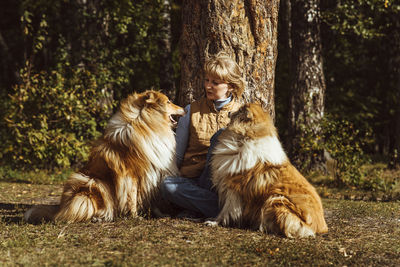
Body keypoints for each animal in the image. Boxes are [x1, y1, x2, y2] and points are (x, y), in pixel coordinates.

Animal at [25, 91, 185, 223]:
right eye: (168, 102)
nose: (184, 109)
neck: (147, 124)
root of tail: (60, 208)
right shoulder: (131, 176)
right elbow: (131, 198)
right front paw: (135, 216)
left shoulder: (152, 173)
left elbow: (153, 199)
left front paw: (160, 214)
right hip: (93, 182)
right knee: (73, 213)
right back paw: (98, 217)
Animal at [206, 104, 328, 239]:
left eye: (240, 110)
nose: (228, 112)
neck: (247, 137)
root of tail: (322, 228)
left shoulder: (234, 189)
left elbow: (225, 210)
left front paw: (214, 222)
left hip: (275, 199)